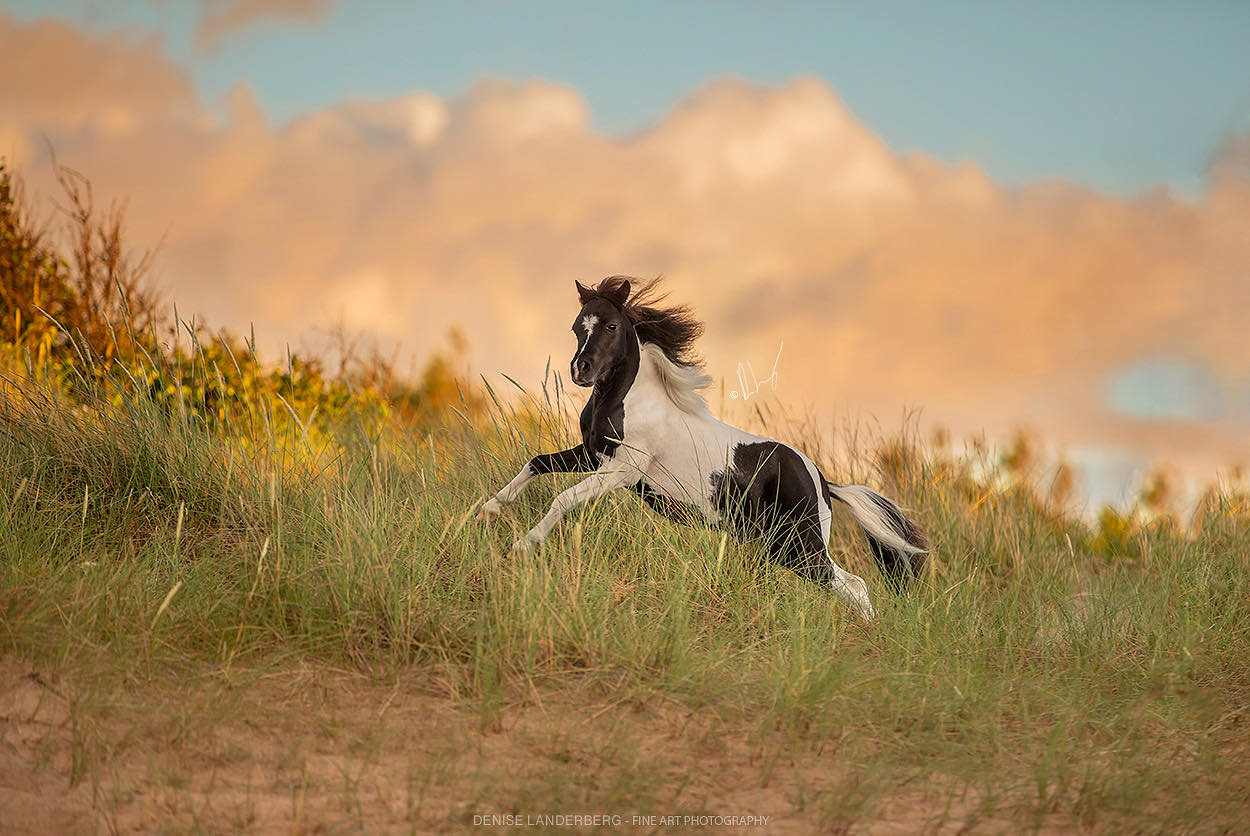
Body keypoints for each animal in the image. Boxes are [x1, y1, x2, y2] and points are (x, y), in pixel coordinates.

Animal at [477, 276, 928, 622]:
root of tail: (821, 479)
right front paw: (488, 511)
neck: (629, 401)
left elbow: (564, 498)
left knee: (853, 584)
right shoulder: (591, 455)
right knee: (845, 584)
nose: (580, 370)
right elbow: (536, 463)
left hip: (801, 544)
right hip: (776, 546)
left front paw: (523, 545)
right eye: (576, 326)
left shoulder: (622, 470)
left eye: (610, 327)